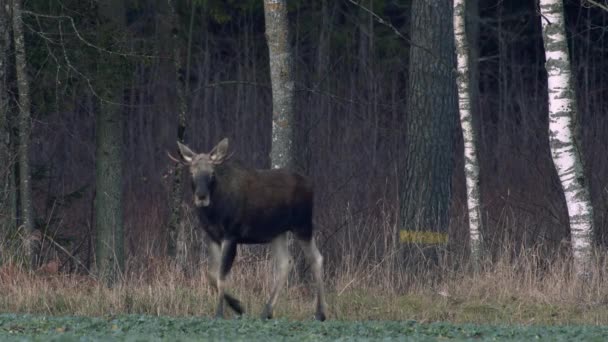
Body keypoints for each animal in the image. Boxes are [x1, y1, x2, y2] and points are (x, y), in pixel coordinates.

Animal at [176, 138, 328, 320]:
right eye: (192, 173)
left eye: (212, 173)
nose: (201, 196)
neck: (213, 213)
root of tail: (312, 185)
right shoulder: (212, 236)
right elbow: (211, 274)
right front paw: (238, 306)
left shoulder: (231, 235)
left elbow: (221, 275)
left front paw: (220, 313)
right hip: (277, 232)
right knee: (285, 262)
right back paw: (266, 311)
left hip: (302, 225)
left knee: (316, 258)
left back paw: (320, 313)